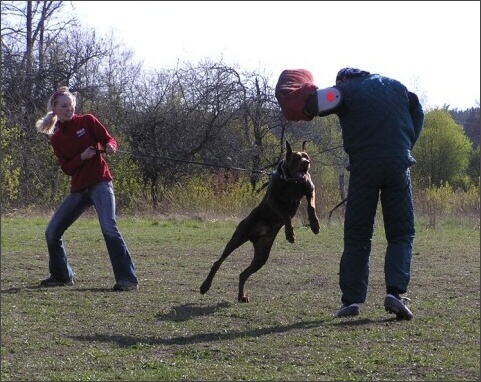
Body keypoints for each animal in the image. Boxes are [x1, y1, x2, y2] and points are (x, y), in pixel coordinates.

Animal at [199, 140, 318, 302]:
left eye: (306, 157)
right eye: (296, 158)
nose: (306, 163)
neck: (291, 180)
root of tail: (256, 235)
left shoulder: (310, 189)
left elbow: (311, 207)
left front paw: (315, 225)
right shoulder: (273, 200)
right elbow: (286, 216)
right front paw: (290, 233)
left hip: (262, 253)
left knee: (243, 273)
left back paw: (241, 296)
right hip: (238, 237)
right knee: (218, 262)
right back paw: (205, 286)